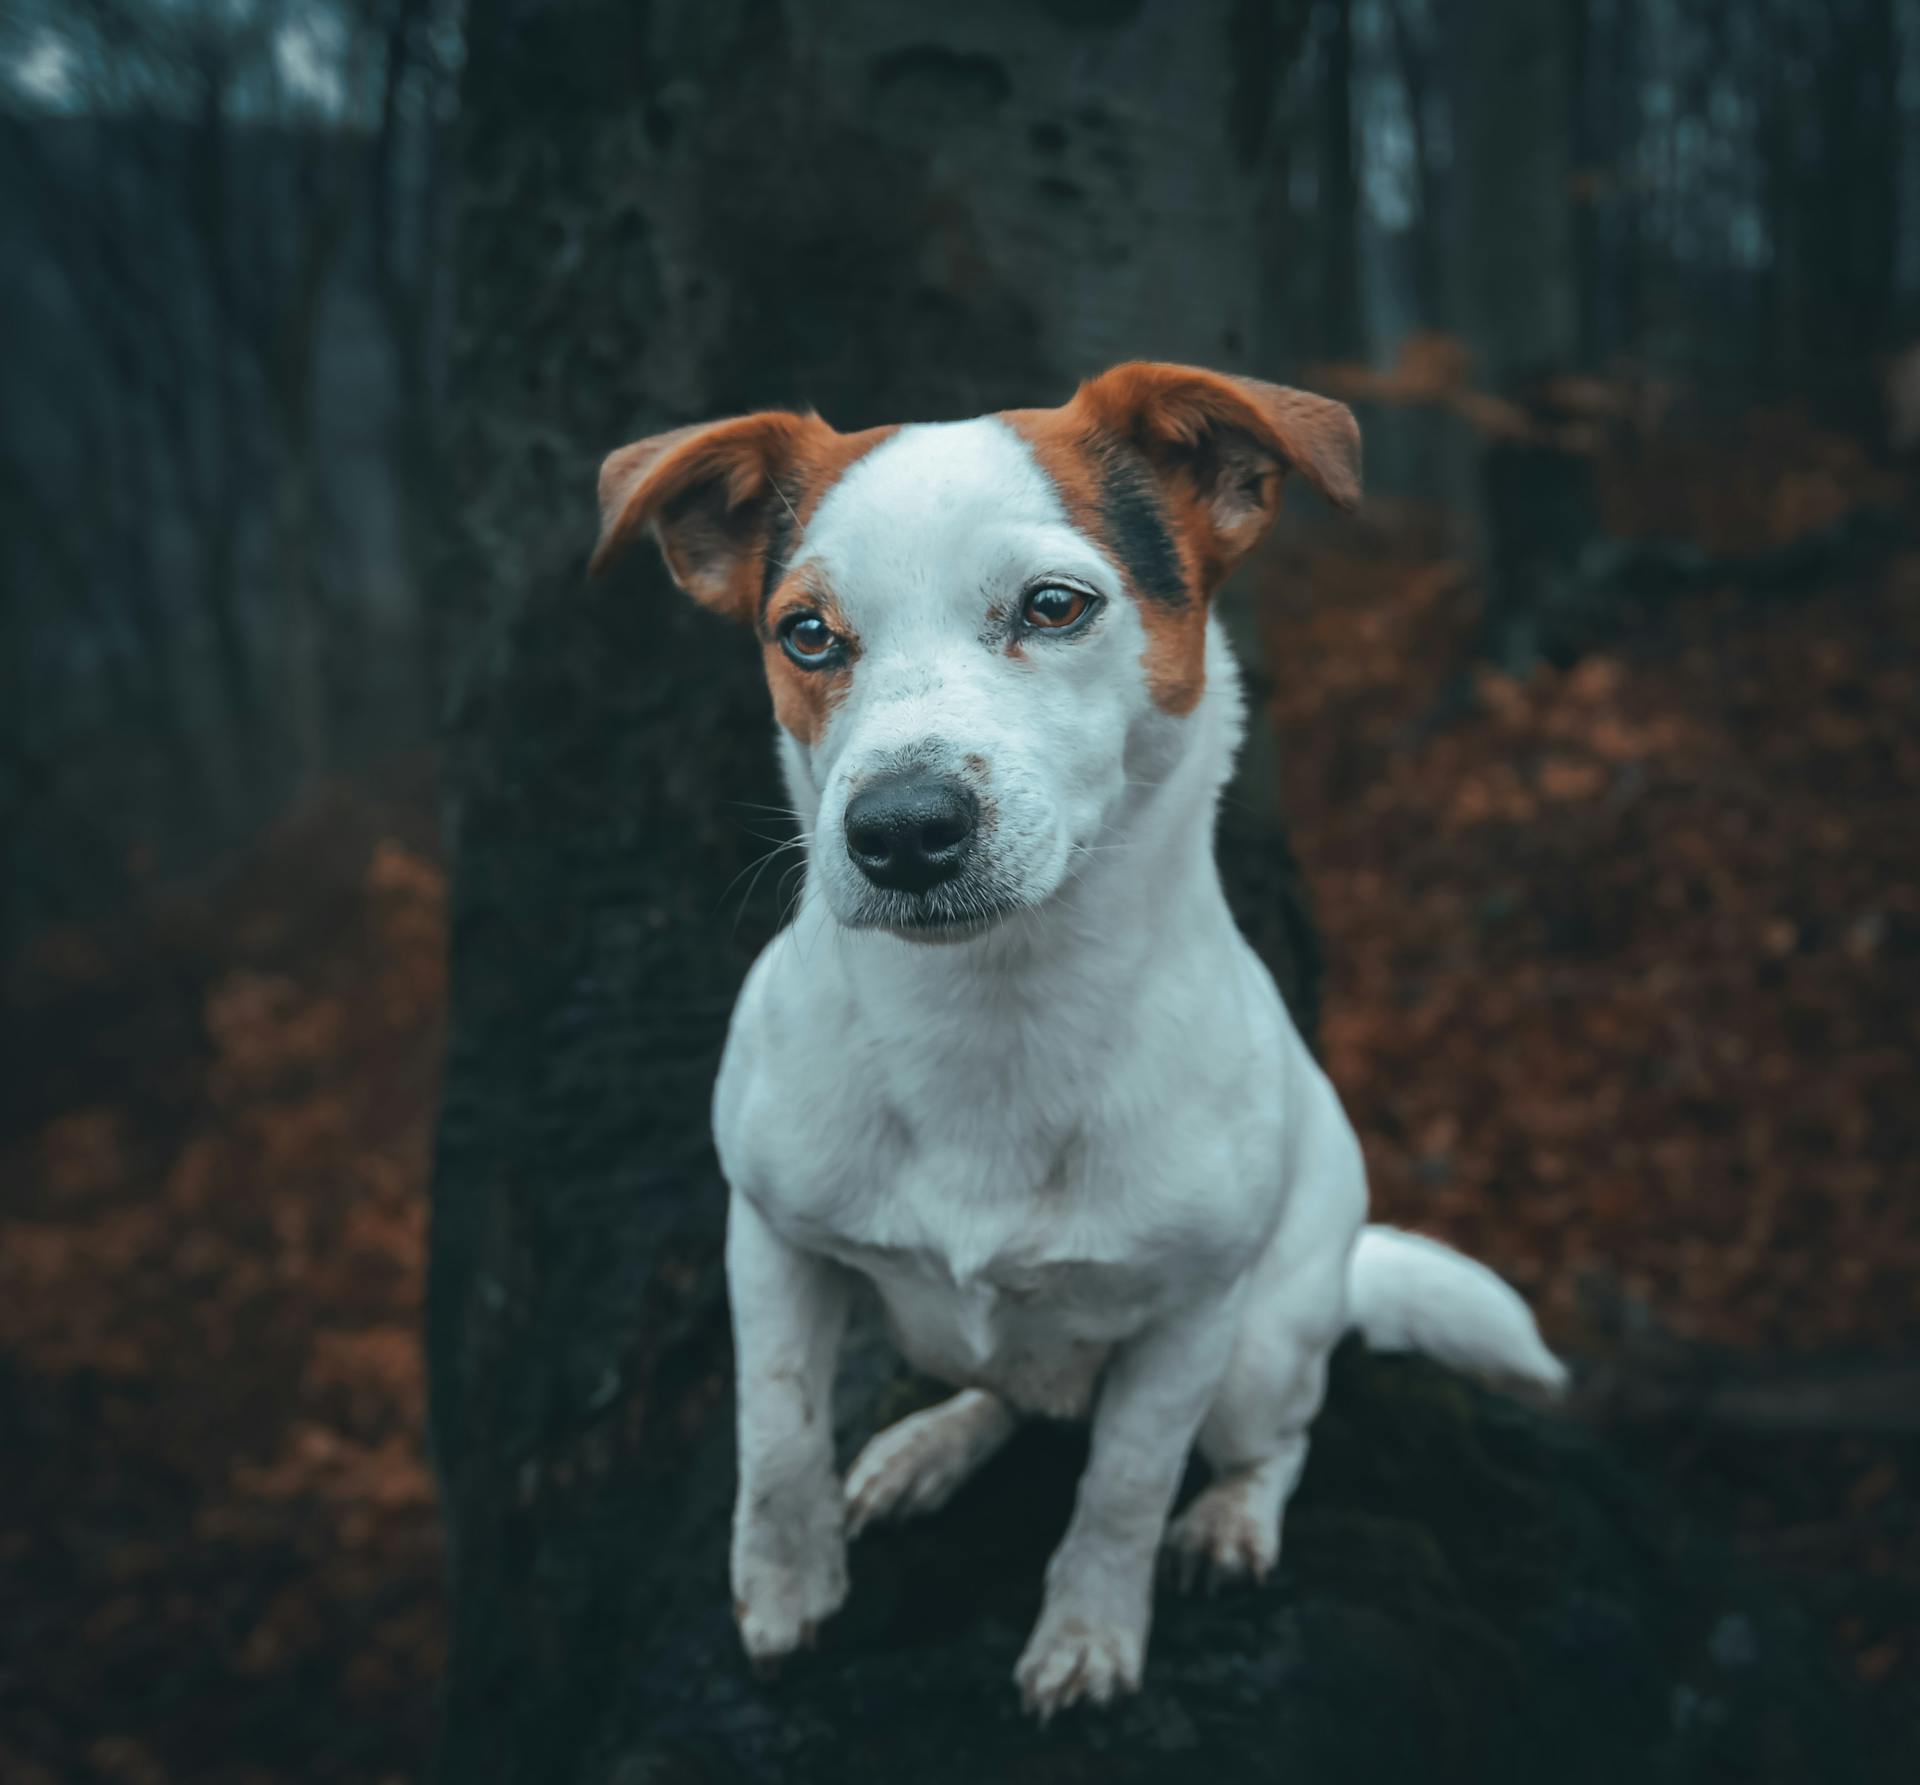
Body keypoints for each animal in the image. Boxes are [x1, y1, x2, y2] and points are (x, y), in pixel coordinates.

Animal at [591, 358, 1566, 1712]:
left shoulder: (1192, 1316)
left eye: (1056, 606)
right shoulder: (769, 1235)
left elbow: (1122, 1487)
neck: (995, 1010)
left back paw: (1231, 1518)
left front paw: (1092, 1632)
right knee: (1010, 1395)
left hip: (1264, 1349)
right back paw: (932, 1444)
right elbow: (776, 1431)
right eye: (806, 633)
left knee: (1272, 1436)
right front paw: (786, 1591)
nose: (901, 831)